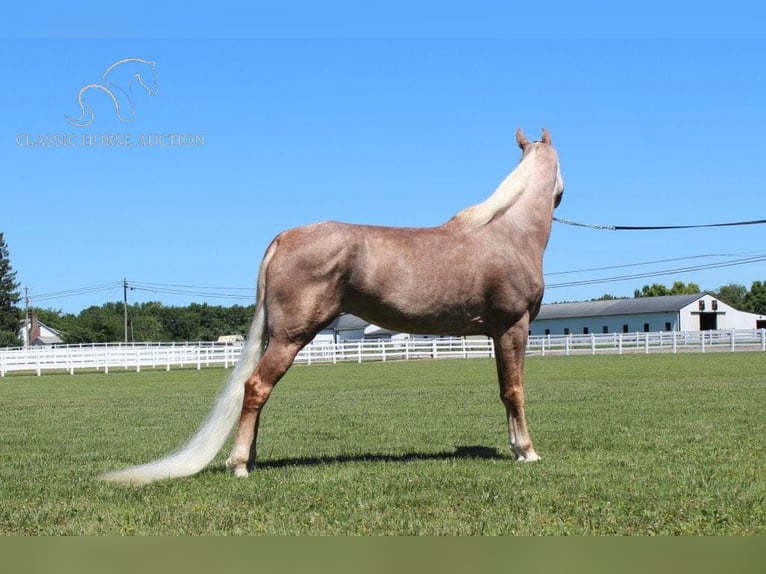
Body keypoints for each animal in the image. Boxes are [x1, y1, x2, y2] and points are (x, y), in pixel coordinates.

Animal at [100, 128, 564, 484]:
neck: (507, 232)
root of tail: (284, 236)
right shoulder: (513, 327)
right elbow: (515, 389)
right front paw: (527, 451)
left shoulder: (496, 334)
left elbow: (504, 390)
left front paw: (515, 447)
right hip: (291, 336)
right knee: (257, 387)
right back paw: (240, 465)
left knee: (255, 389)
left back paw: (249, 458)